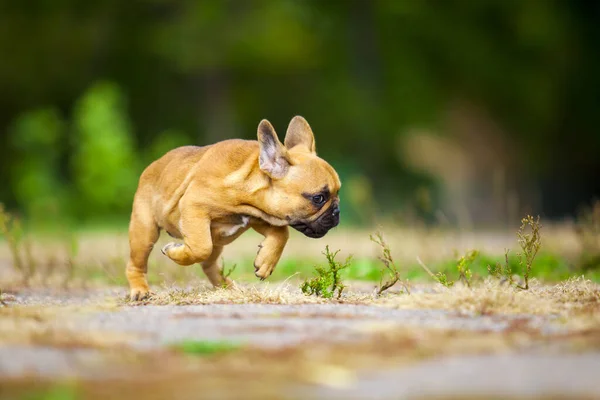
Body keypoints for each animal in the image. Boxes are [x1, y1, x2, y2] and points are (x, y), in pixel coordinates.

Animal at [125, 115, 342, 296]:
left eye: (337, 192)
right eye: (319, 198)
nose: (337, 211)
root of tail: (153, 165)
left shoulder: (257, 217)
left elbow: (282, 233)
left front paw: (266, 262)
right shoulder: (194, 206)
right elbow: (199, 247)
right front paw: (174, 252)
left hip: (217, 242)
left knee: (209, 263)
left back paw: (226, 286)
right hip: (144, 230)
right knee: (137, 263)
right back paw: (141, 290)